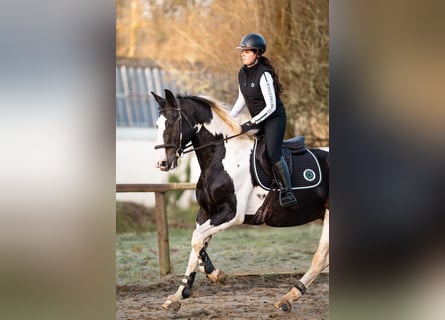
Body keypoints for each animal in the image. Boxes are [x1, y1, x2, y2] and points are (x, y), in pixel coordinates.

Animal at [151, 88, 328, 312]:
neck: (221, 157)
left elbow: (197, 240)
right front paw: (178, 295)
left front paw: (216, 275)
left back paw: (288, 298)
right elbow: (196, 247)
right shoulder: (206, 213)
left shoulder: (231, 214)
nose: (162, 163)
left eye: (173, 122)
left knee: (320, 258)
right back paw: (288, 298)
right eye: (157, 124)